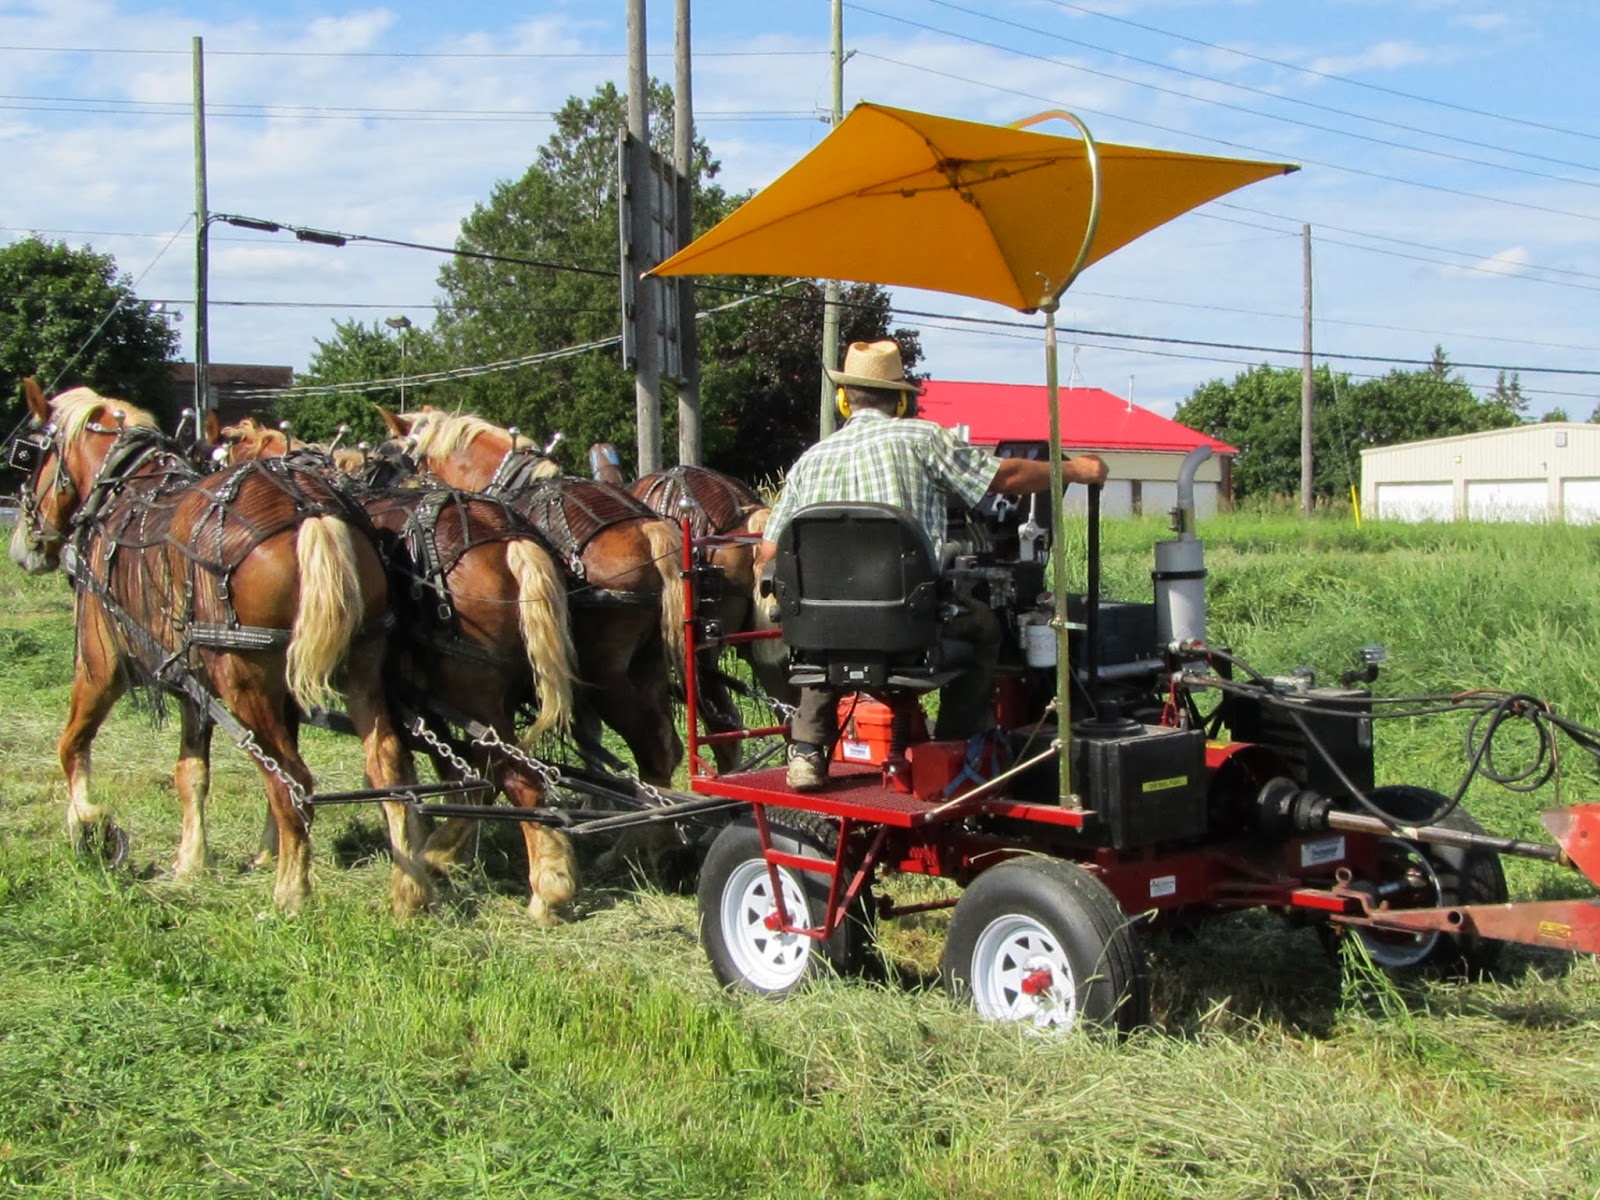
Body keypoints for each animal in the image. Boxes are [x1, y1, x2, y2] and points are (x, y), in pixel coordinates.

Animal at [6, 380, 432, 915]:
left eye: (27, 456)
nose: (22, 547)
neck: (123, 493)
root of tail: (313, 511)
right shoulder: (199, 684)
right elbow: (191, 772)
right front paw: (195, 860)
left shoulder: (102, 664)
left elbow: (72, 745)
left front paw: (88, 824)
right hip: (360, 666)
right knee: (385, 766)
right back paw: (408, 890)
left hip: (241, 680)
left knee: (293, 779)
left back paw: (291, 894)